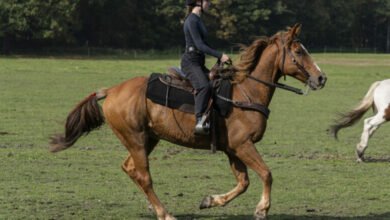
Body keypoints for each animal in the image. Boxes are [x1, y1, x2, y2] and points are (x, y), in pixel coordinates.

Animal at [51, 23, 326, 219]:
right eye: (298, 51)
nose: (321, 78)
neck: (245, 92)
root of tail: (111, 91)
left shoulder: (233, 149)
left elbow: (243, 182)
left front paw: (210, 201)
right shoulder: (243, 145)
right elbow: (267, 174)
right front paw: (262, 209)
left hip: (147, 139)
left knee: (130, 169)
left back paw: (153, 208)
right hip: (136, 139)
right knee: (144, 176)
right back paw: (164, 213)